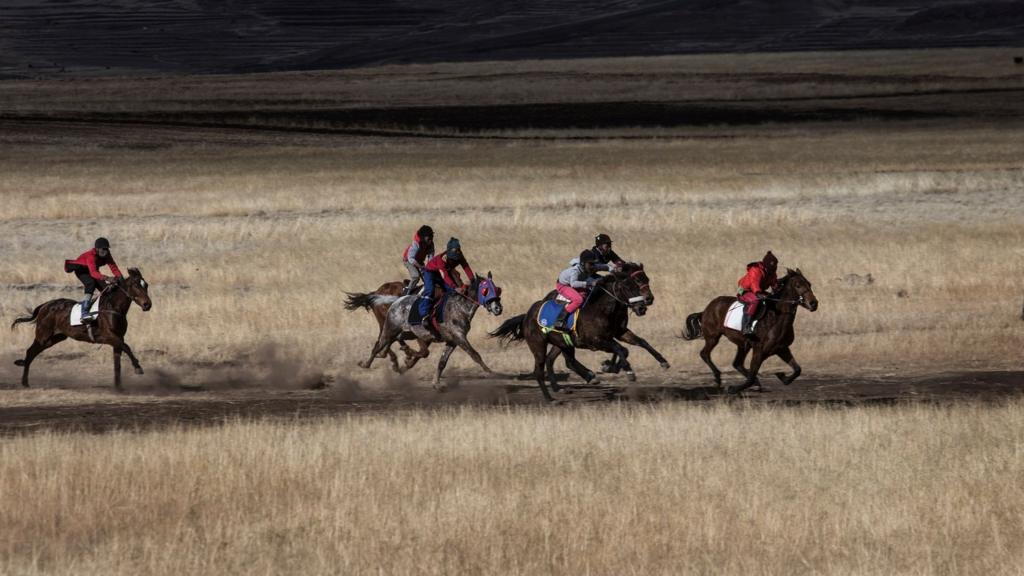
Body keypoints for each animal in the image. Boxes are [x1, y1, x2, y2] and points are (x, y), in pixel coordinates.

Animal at [10, 266, 151, 387]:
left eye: (146, 285)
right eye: (136, 285)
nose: (147, 305)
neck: (113, 308)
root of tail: (45, 305)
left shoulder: (117, 339)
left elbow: (118, 363)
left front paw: (118, 387)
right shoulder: (109, 336)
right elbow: (127, 347)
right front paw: (138, 368)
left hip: (55, 338)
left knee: (33, 352)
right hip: (43, 335)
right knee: (30, 352)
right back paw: (24, 382)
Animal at [356, 270, 503, 387]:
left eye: (497, 289)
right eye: (485, 290)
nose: (498, 308)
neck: (460, 307)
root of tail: (396, 301)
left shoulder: (452, 341)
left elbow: (441, 362)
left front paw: (436, 382)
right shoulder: (458, 336)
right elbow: (475, 354)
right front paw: (491, 372)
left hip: (407, 333)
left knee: (393, 341)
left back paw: (397, 355)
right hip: (390, 328)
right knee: (378, 344)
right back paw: (366, 363)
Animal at [491, 262, 659, 401]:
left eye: (645, 280)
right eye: (629, 287)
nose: (644, 306)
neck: (601, 309)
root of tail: (527, 315)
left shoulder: (617, 333)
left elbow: (630, 346)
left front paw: (612, 366)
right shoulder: (596, 341)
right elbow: (620, 349)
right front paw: (627, 371)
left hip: (562, 342)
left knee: (560, 361)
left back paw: (572, 383)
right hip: (538, 345)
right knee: (541, 369)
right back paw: (549, 397)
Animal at [684, 266, 819, 391]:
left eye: (809, 284)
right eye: (798, 285)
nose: (814, 303)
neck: (777, 317)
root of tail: (706, 310)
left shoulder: (781, 348)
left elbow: (798, 369)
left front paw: (782, 376)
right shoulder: (759, 350)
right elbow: (751, 377)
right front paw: (733, 389)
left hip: (743, 344)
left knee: (737, 363)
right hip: (713, 337)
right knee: (705, 354)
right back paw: (718, 378)